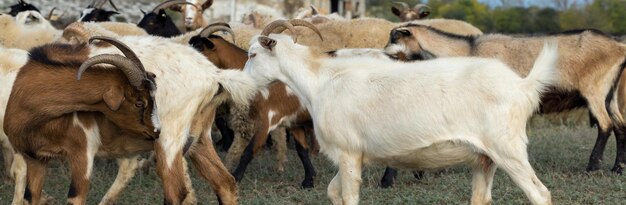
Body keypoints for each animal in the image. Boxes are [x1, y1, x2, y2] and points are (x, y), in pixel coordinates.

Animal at [4, 40, 160, 205]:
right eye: (139, 103)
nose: (156, 130)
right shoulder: (35, 158)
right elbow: (30, 195)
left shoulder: (82, 152)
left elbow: (75, 196)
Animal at [382, 24, 624, 174]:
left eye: (394, 37)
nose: (382, 54)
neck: (467, 51)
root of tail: (619, 46)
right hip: (609, 94)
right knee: (620, 126)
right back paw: (617, 168)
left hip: (594, 89)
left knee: (605, 124)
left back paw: (592, 167)